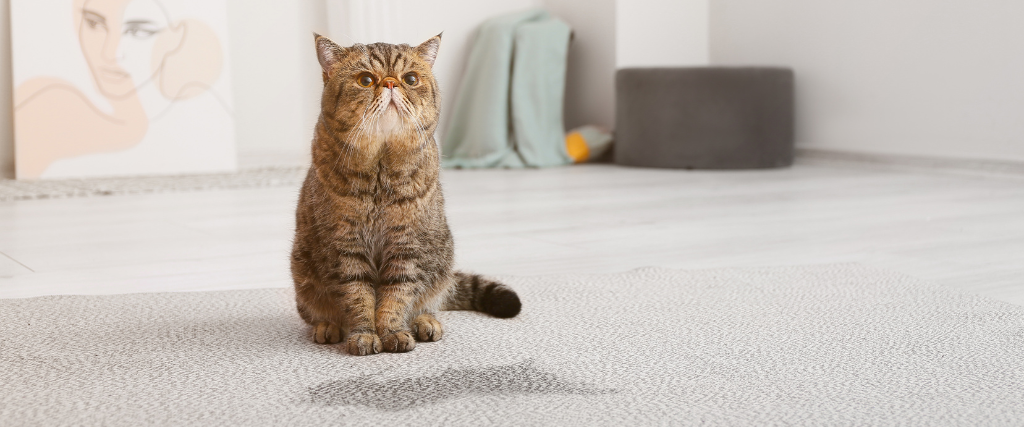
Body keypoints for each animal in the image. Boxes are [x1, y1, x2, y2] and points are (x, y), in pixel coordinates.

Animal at [294, 33, 520, 354]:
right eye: (365, 80)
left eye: (410, 79)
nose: (390, 83)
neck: (380, 171)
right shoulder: (346, 246)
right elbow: (357, 296)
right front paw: (364, 334)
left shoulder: (407, 245)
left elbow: (397, 296)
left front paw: (393, 331)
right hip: (302, 275)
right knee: (316, 313)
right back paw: (328, 327)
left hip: (441, 263)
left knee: (429, 301)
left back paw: (425, 322)